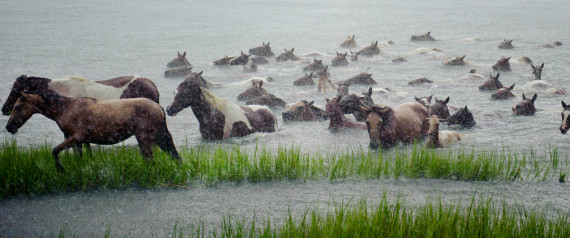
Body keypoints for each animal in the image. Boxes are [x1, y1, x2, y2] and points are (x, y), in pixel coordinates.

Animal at [5, 92, 180, 172]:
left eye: (17, 107)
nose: (8, 127)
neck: (65, 109)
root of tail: (158, 107)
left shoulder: (76, 137)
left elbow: (54, 150)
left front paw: (60, 169)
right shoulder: (79, 141)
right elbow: (79, 158)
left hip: (144, 138)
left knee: (150, 160)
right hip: (158, 136)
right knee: (174, 155)